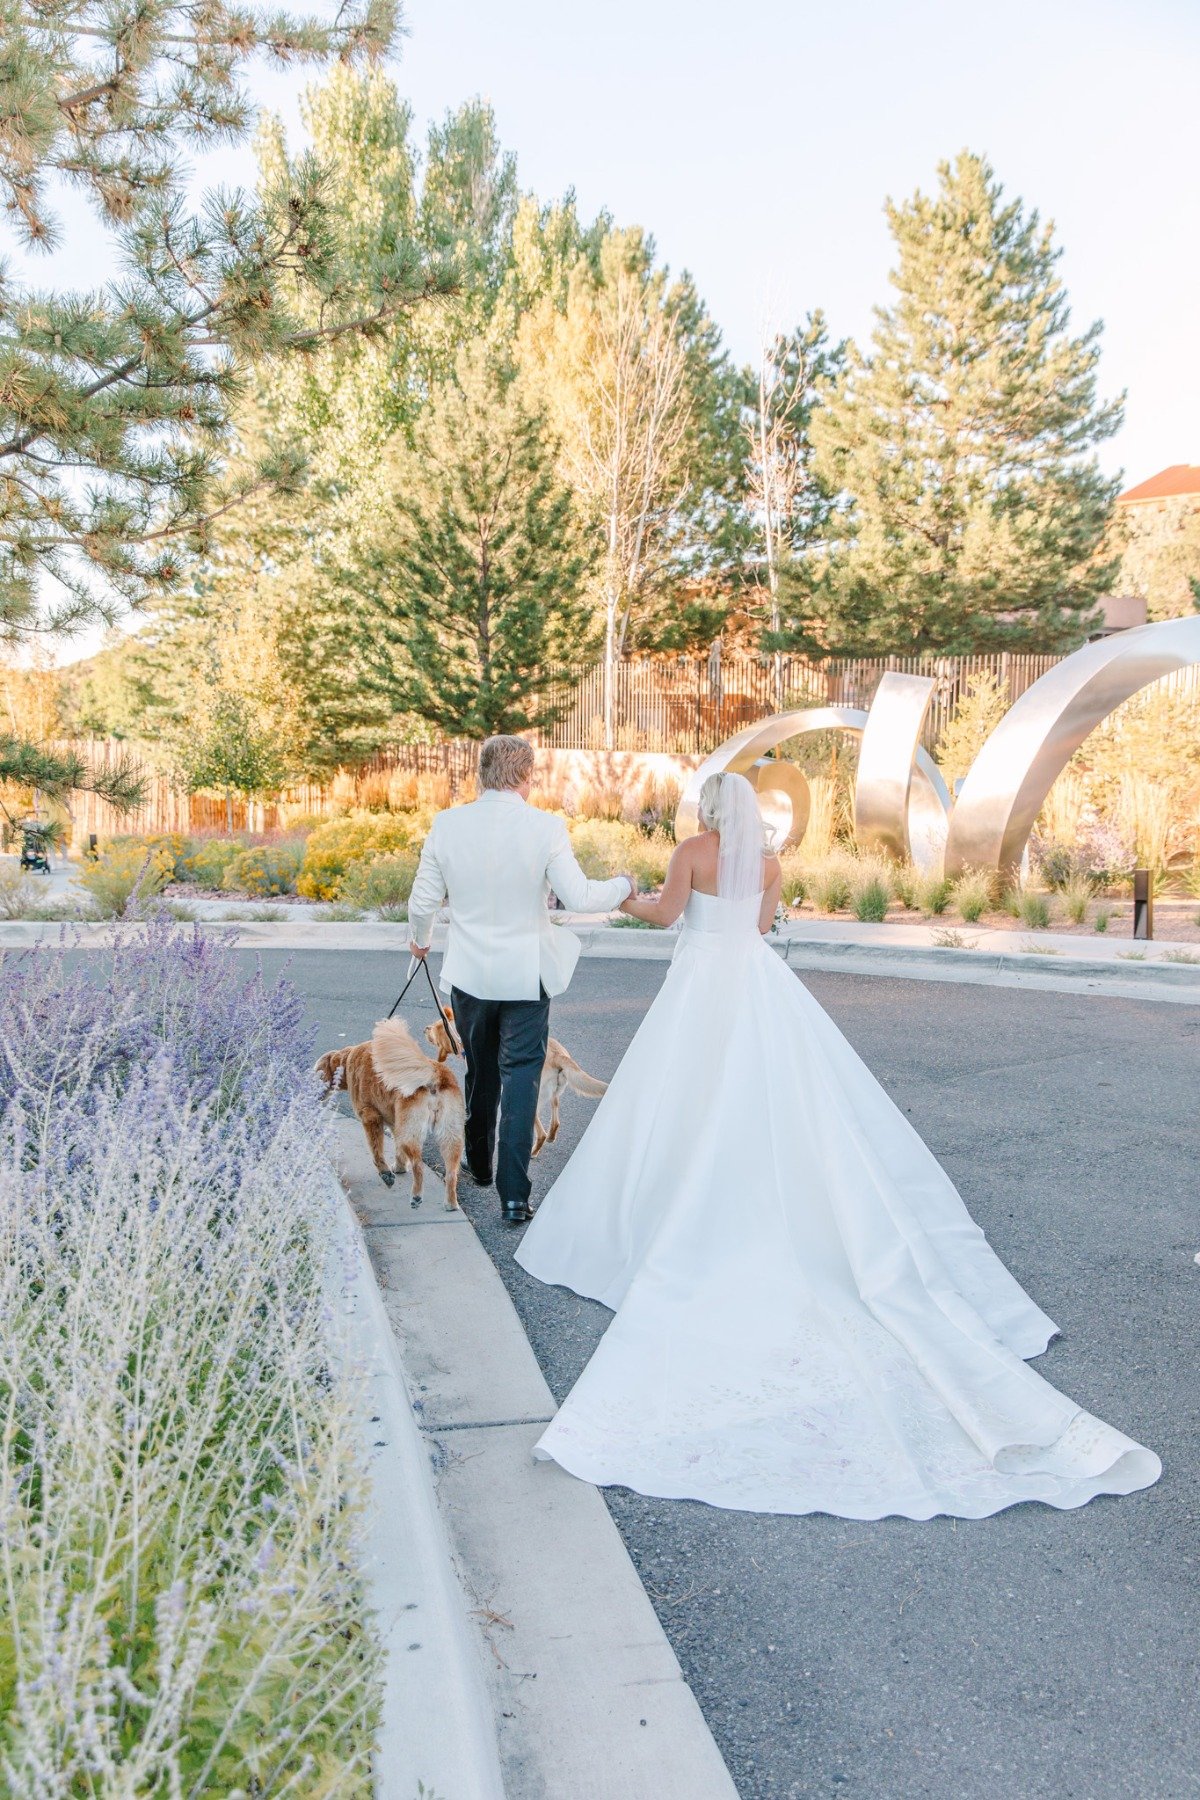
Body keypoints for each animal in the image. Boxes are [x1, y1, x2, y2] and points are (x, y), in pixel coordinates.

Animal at [314, 1015, 464, 1209]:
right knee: (451, 1172)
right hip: (449, 1133)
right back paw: (451, 1202)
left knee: (419, 1165)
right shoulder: (394, 1123)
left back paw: (416, 1196)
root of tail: (434, 1074)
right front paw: (399, 1167)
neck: (347, 1062)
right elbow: (398, 1149)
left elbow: (376, 1151)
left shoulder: (370, 1116)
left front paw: (385, 1172)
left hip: (411, 1130)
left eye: (317, 1072)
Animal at [424, 1008, 611, 1159]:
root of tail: (559, 1056)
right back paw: (551, 1137)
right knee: (556, 1121)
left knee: (541, 1134)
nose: (425, 1028)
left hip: (531, 1103)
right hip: (554, 1095)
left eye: (433, 1027)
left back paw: (533, 1152)